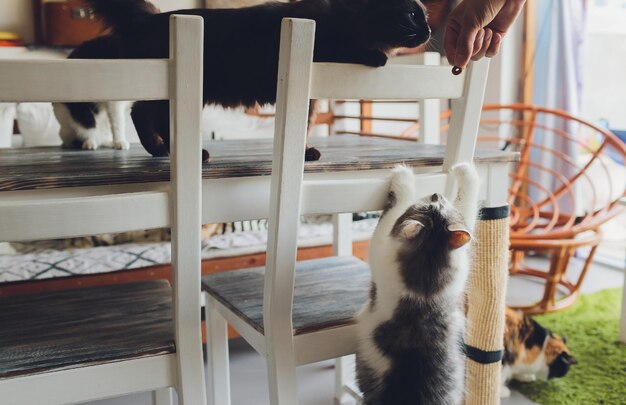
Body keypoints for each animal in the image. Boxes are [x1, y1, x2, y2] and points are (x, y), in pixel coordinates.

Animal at [54, 0, 428, 161]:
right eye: (413, 14)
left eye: (424, 15)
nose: (427, 31)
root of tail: (151, 17)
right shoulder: (324, 46)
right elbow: (353, 49)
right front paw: (377, 55)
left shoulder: (308, 98)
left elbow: (304, 126)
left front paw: (305, 151)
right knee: (139, 113)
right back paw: (166, 150)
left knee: (145, 115)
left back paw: (166, 150)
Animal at [356, 163, 478, 404]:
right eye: (433, 205)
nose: (436, 194)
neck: (424, 291)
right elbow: (467, 202)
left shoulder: (381, 246)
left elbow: (397, 205)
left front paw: (403, 174)